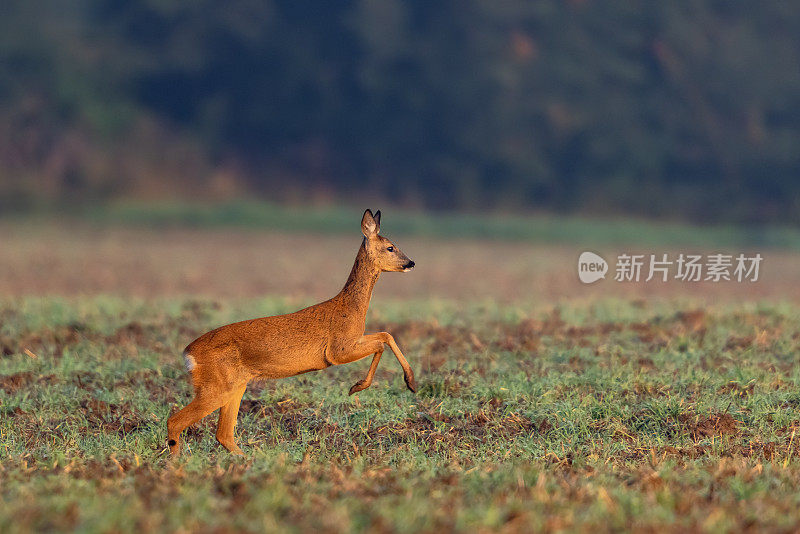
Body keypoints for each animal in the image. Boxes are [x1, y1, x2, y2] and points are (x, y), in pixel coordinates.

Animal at [169, 209, 418, 456]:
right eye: (390, 247)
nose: (411, 262)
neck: (350, 308)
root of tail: (188, 354)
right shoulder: (337, 351)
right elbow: (382, 341)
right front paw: (361, 387)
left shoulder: (351, 342)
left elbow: (386, 335)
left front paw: (410, 383)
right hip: (216, 386)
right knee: (175, 422)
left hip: (236, 386)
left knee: (223, 434)